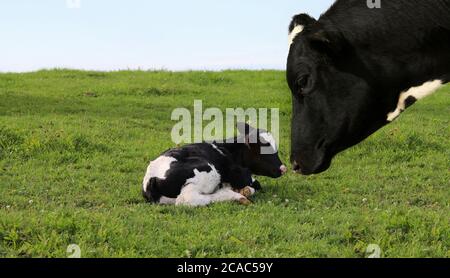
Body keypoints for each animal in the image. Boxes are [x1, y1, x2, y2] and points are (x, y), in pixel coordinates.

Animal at [142, 123, 286, 206]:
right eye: (265, 148)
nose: (283, 168)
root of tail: (151, 178)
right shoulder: (241, 175)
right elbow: (255, 185)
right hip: (207, 171)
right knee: (187, 199)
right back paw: (235, 195)